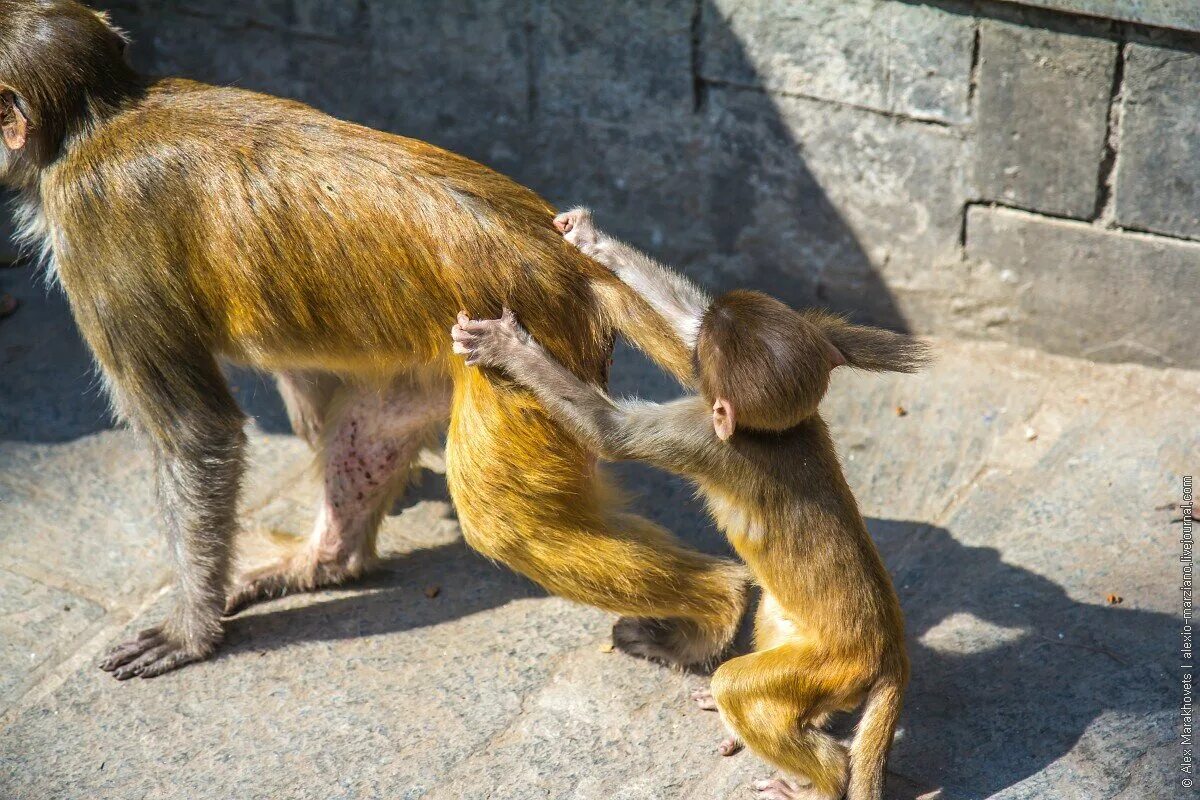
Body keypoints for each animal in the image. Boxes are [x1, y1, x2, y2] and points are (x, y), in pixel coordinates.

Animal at [2, 0, 748, 681]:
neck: (99, 119)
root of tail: (564, 259)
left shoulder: (92, 233)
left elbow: (195, 433)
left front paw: (191, 627)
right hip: (451, 356)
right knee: (372, 428)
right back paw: (324, 562)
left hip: (534, 352)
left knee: (504, 521)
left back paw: (713, 608)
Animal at [451, 209, 926, 796]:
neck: (776, 435)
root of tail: (892, 654)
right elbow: (685, 321)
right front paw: (592, 239)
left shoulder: (701, 435)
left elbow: (610, 432)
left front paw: (508, 349)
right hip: (803, 642)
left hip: (831, 665)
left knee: (737, 685)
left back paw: (824, 776)